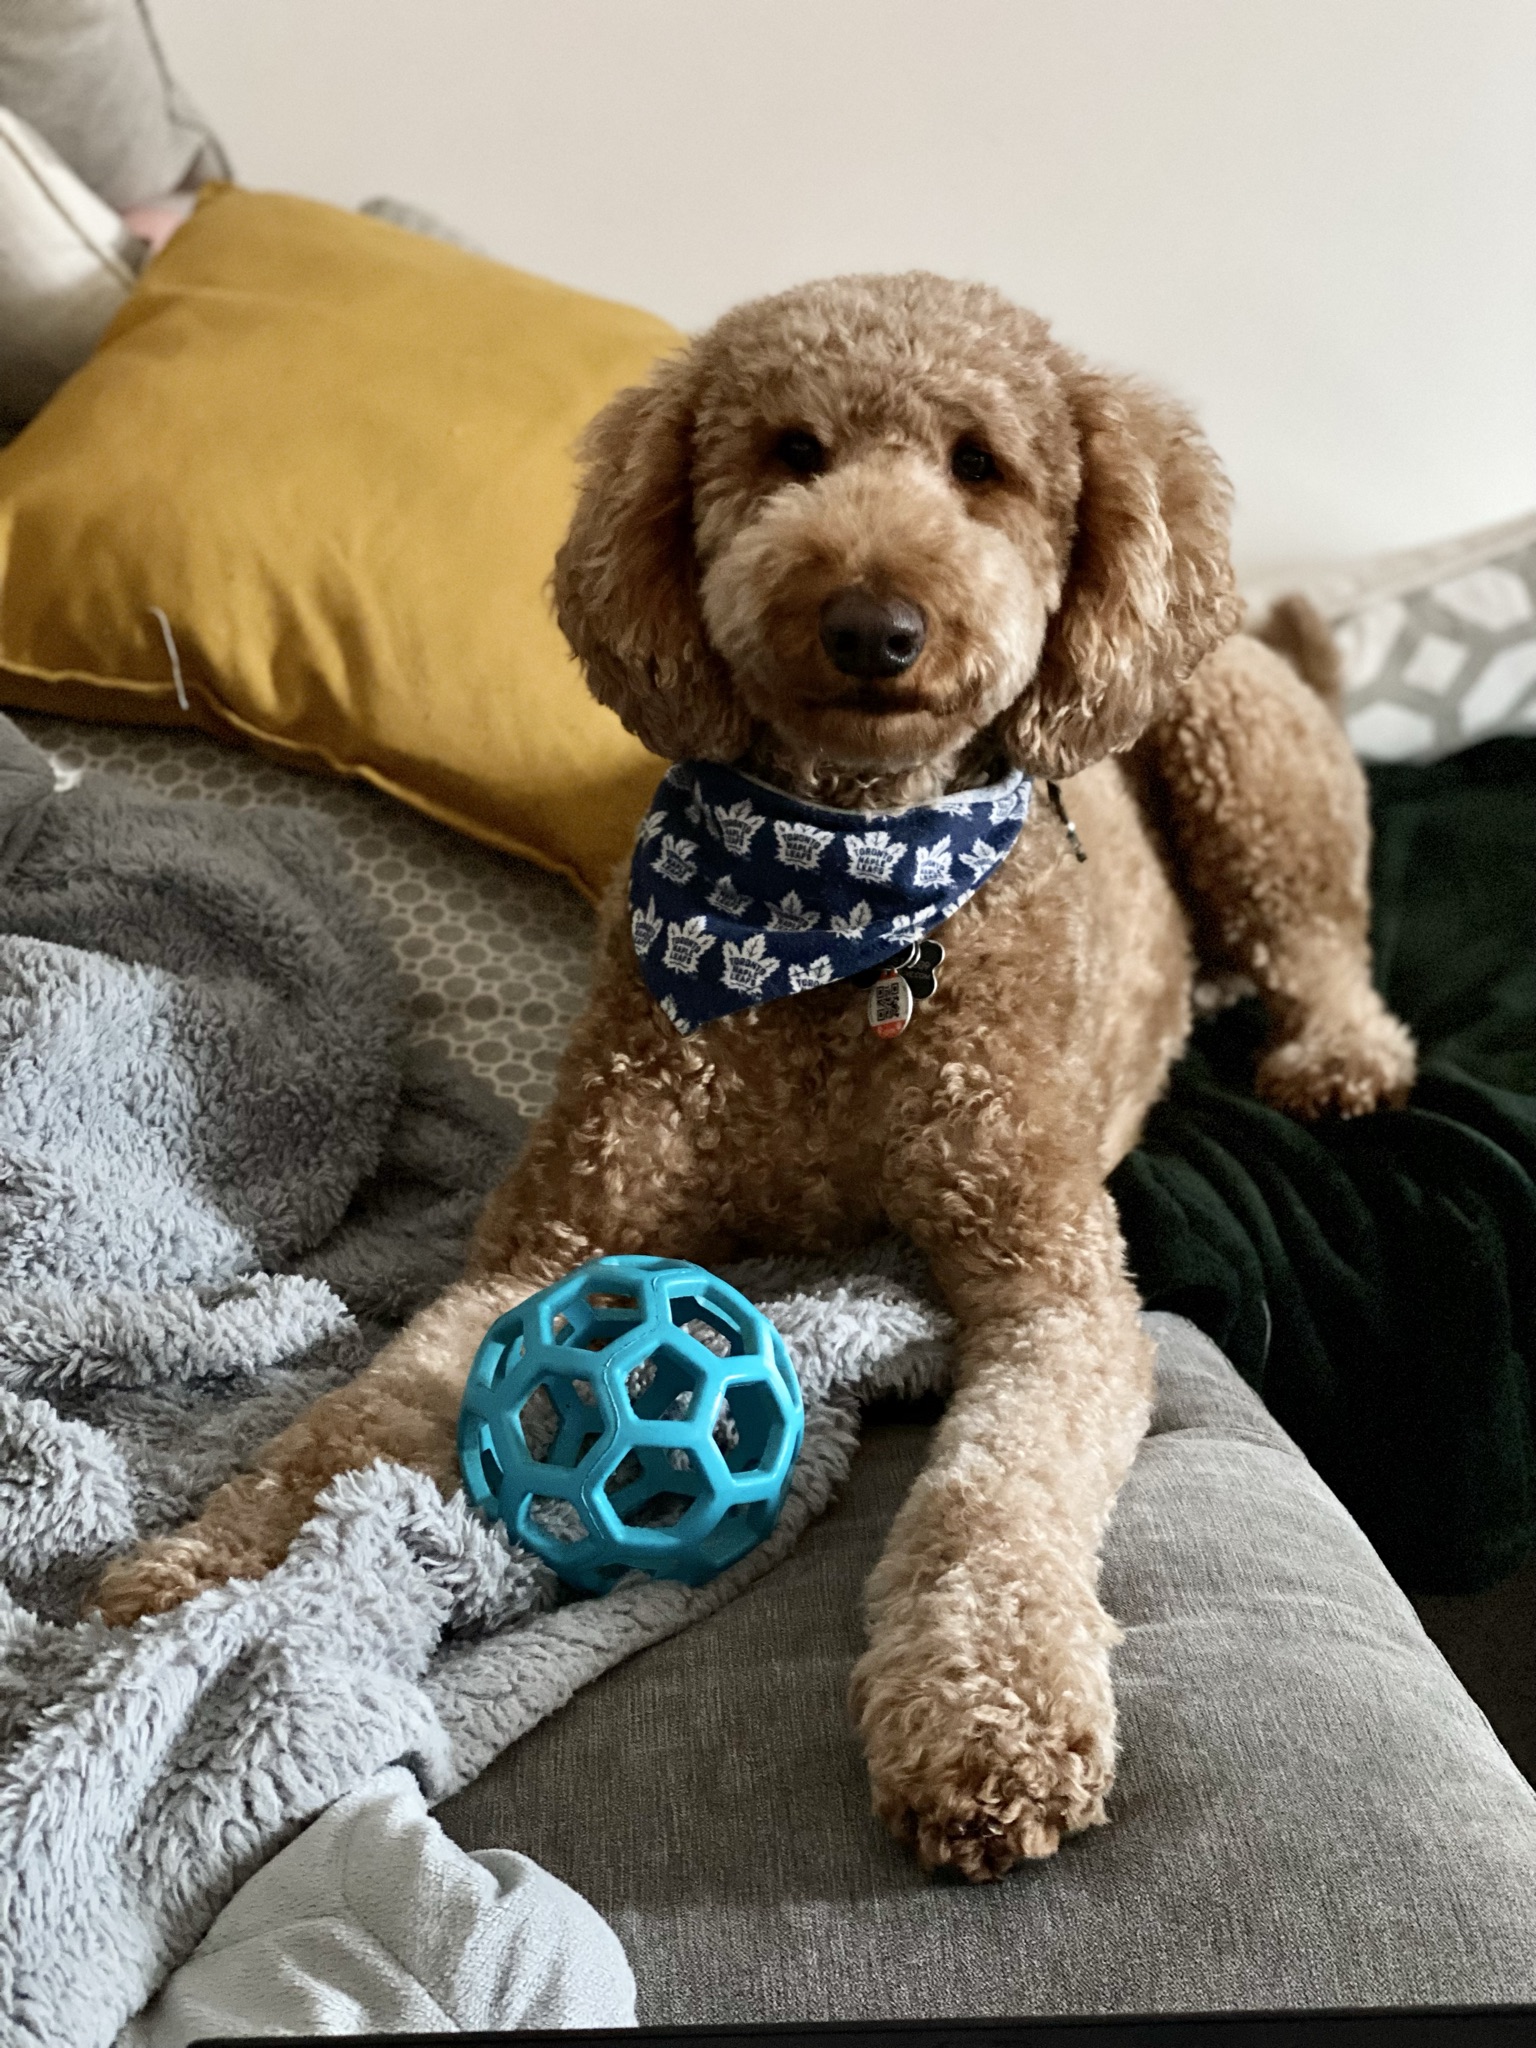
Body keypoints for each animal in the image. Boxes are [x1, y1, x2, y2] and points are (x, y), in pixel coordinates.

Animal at [94, 272, 1415, 1880]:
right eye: (794, 452)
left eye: (981, 465)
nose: (873, 623)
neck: (835, 914)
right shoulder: (551, 1242)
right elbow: (358, 1415)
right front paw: (213, 1569)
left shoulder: (1055, 1290)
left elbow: (998, 1500)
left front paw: (987, 1727)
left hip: (1242, 760)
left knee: (1321, 940)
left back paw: (1340, 1057)